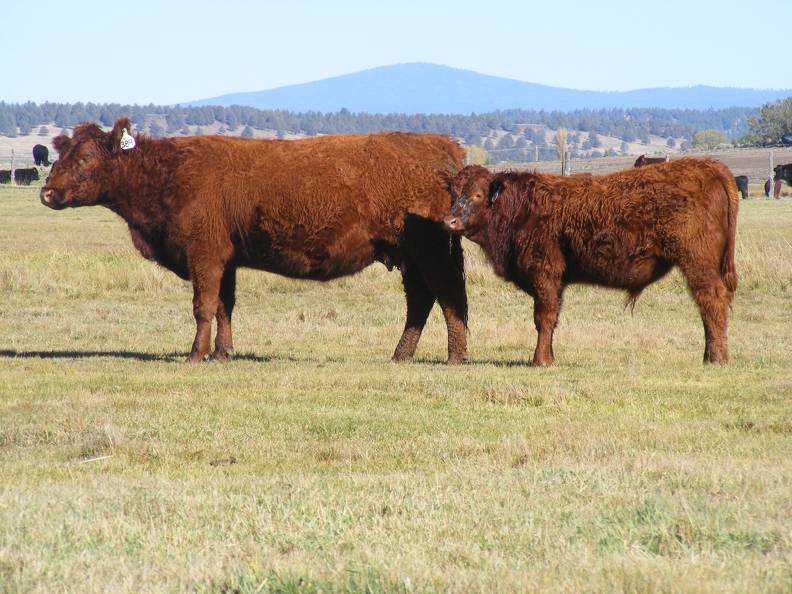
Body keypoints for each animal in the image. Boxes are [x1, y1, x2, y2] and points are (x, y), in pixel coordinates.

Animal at [40, 117, 468, 360]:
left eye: (87, 158)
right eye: (62, 155)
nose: (47, 192)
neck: (167, 173)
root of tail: (444, 145)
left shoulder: (204, 254)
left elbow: (203, 306)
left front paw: (195, 354)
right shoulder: (225, 260)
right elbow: (224, 306)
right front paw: (223, 352)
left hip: (430, 252)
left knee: (447, 295)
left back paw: (455, 356)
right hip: (410, 256)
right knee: (421, 300)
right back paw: (401, 355)